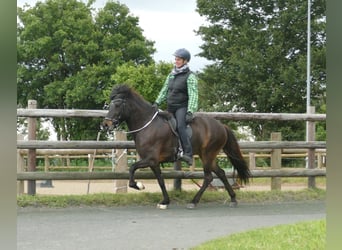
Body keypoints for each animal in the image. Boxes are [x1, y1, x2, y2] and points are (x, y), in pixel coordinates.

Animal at [101, 84, 251, 209]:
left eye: (118, 104)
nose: (106, 125)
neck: (147, 125)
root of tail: (222, 126)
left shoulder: (150, 159)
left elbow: (132, 168)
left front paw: (139, 185)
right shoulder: (154, 163)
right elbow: (160, 181)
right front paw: (165, 201)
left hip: (208, 155)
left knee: (208, 178)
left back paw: (193, 202)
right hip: (207, 156)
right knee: (221, 173)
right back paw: (233, 199)